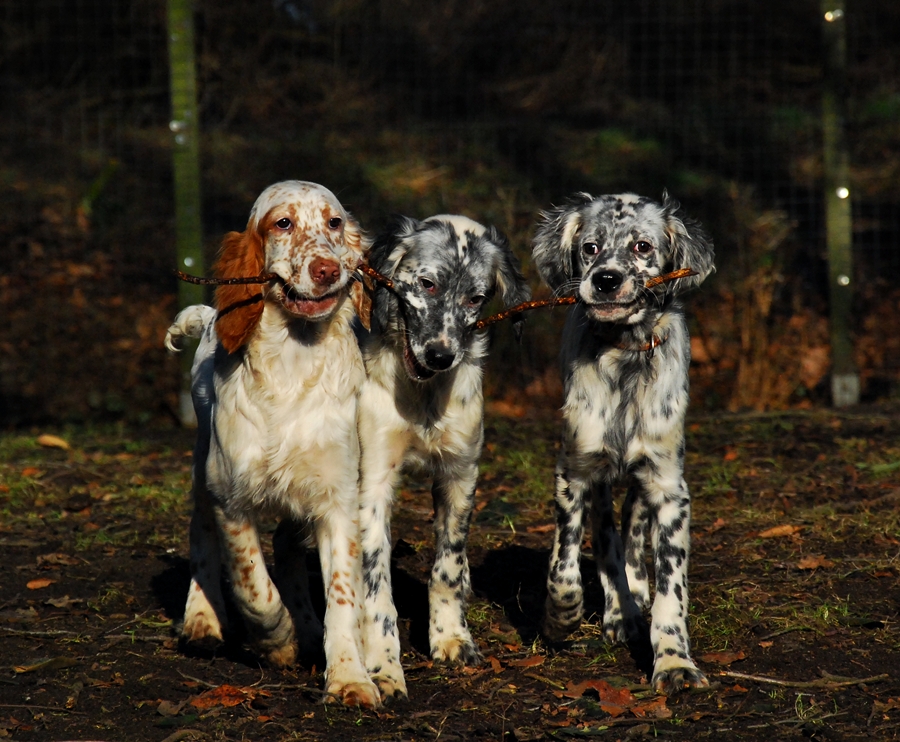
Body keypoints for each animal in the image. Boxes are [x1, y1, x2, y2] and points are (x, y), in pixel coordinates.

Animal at [532, 192, 712, 696]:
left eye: (642, 247)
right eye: (590, 248)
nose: (606, 280)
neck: (626, 357)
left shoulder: (669, 488)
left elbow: (671, 590)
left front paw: (673, 662)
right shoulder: (574, 471)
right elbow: (565, 566)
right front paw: (561, 618)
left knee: (632, 528)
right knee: (607, 536)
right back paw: (618, 609)